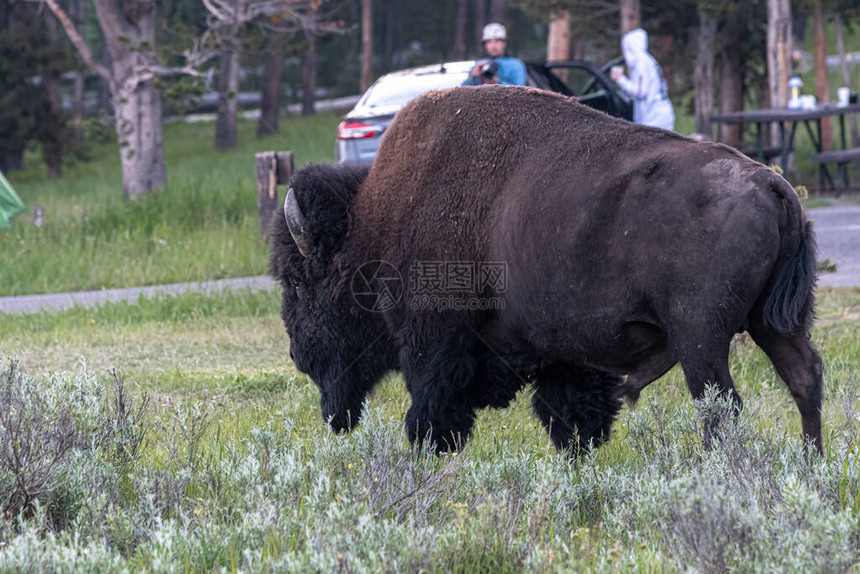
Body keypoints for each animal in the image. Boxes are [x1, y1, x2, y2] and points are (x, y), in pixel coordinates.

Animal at [272, 84, 824, 454]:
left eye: (298, 281)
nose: (298, 354)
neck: (378, 223)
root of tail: (773, 185)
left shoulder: (433, 345)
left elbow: (432, 414)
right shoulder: (565, 356)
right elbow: (571, 417)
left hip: (701, 336)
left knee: (722, 406)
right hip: (771, 322)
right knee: (804, 378)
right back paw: (809, 465)